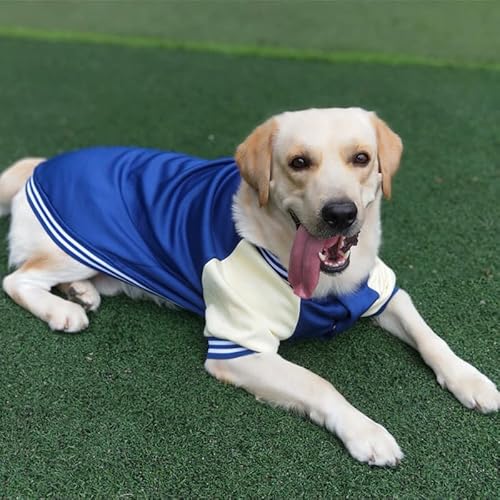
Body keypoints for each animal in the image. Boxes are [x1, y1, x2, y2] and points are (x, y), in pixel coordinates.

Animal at [0, 107, 498, 466]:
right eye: (299, 163)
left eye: (361, 158)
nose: (341, 213)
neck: (327, 283)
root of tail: (41, 165)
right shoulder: (238, 347)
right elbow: (319, 384)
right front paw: (366, 432)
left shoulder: (384, 291)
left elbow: (430, 338)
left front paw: (470, 379)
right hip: (70, 248)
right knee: (17, 278)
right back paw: (63, 310)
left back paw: (81, 293)